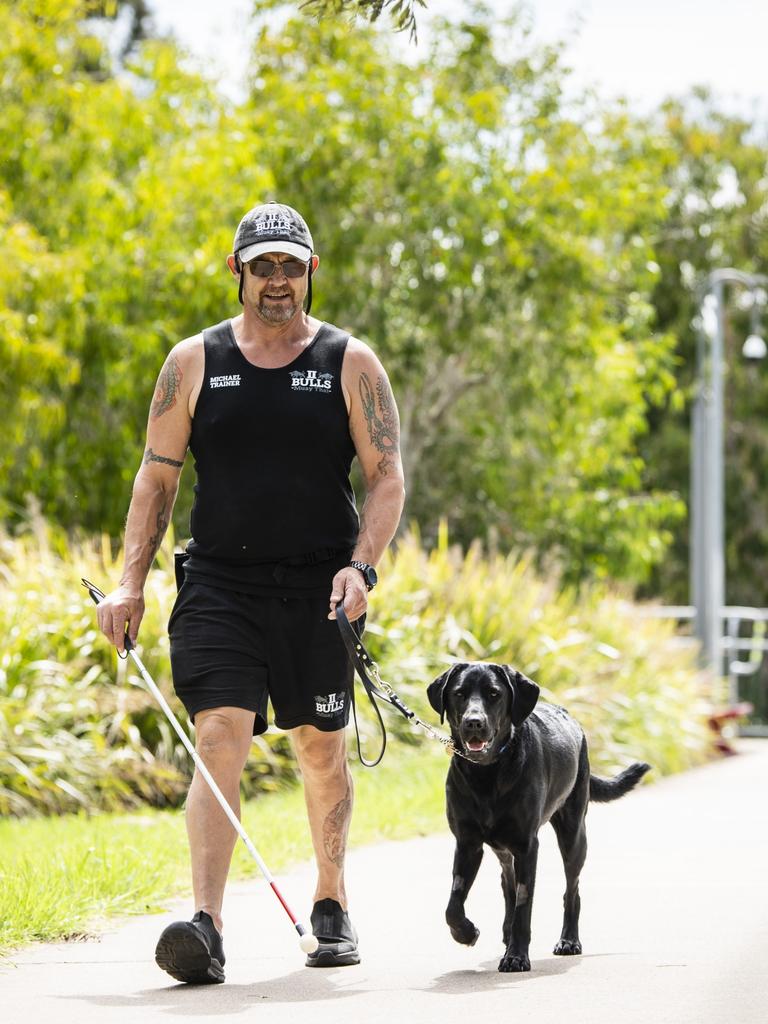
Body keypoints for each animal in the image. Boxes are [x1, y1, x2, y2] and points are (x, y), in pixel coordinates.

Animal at [430, 663, 651, 974]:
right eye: (459, 694)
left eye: (494, 694)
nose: (474, 722)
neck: (487, 774)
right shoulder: (467, 844)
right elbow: (453, 903)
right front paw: (466, 932)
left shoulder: (526, 846)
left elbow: (525, 905)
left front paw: (516, 957)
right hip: (504, 849)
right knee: (507, 883)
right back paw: (506, 931)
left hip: (573, 836)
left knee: (572, 890)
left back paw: (568, 940)